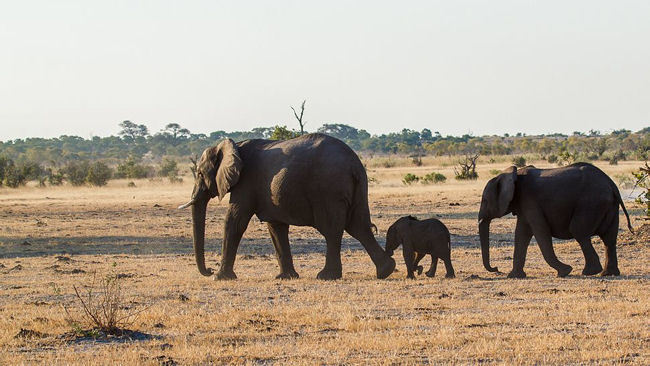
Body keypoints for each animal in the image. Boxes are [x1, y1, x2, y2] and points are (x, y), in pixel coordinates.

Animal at [176, 134, 394, 280]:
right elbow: (276, 227)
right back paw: (386, 270)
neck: (234, 145)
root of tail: (354, 163)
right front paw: (286, 277)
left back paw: (326, 276)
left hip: (327, 188)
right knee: (359, 226)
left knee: (333, 229)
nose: (209, 270)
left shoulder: (246, 182)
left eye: (200, 174)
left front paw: (220, 278)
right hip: (356, 187)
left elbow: (235, 221)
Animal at [474, 163, 632, 278]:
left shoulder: (530, 201)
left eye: (485, 201)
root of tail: (611, 184)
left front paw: (565, 271)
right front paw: (514, 276)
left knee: (579, 232)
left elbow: (541, 233)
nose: (496, 268)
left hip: (591, 203)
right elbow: (521, 234)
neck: (513, 175)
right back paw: (608, 274)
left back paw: (590, 272)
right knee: (609, 238)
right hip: (609, 206)